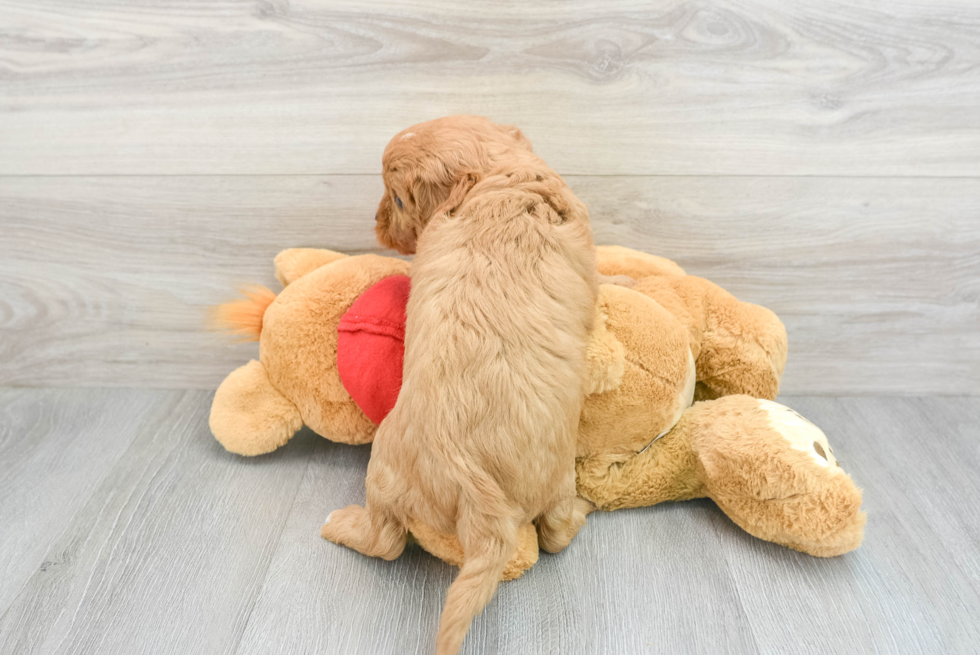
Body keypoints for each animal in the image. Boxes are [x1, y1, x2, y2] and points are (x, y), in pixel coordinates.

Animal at [322, 118, 596, 655]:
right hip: (547, 477)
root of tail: (476, 490)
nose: (377, 224)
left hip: (386, 471)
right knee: (553, 532)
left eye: (398, 199)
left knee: (388, 540)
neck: (497, 178)